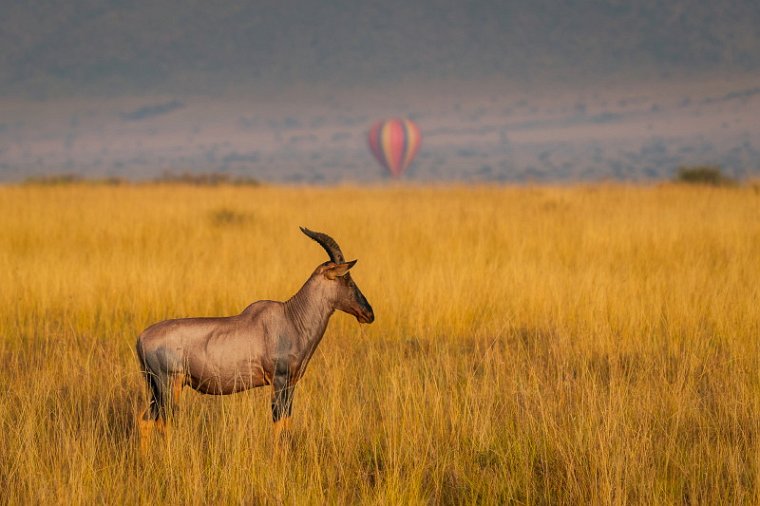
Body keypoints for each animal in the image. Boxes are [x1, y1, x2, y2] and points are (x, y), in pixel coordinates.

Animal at [138, 227, 376, 452]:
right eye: (346, 278)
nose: (369, 313)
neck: (290, 316)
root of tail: (141, 338)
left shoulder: (290, 384)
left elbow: (287, 422)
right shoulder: (279, 380)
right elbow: (278, 423)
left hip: (155, 387)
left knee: (145, 421)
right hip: (169, 385)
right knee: (163, 422)